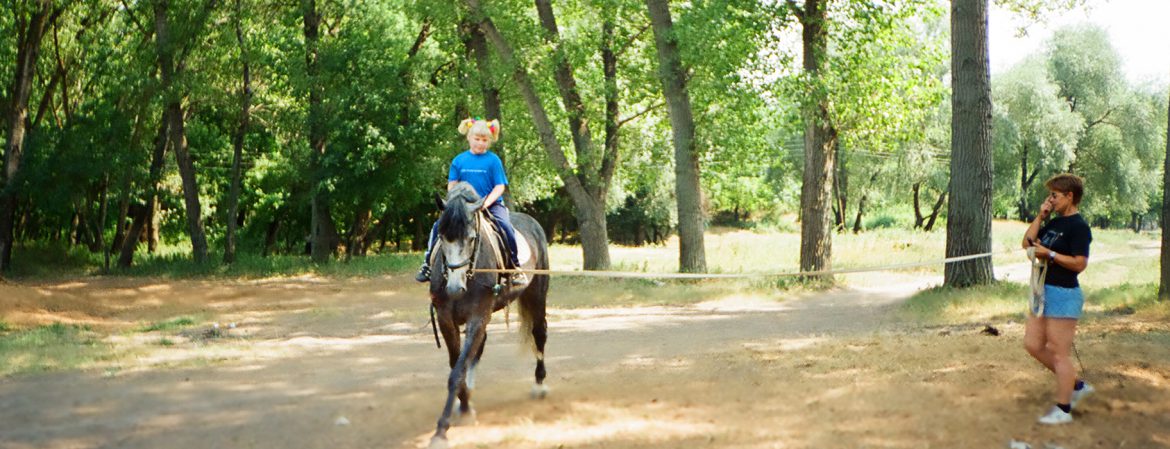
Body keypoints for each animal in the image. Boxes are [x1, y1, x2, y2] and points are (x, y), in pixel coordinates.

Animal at [425, 182, 547, 449]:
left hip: (537, 294)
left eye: (471, 239)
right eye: (442, 237)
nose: (454, 288)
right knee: (479, 348)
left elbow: (457, 371)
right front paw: (464, 405)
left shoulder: (477, 317)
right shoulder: (446, 320)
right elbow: (457, 364)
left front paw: (442, 429)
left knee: (539, 334)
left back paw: (540, 385)